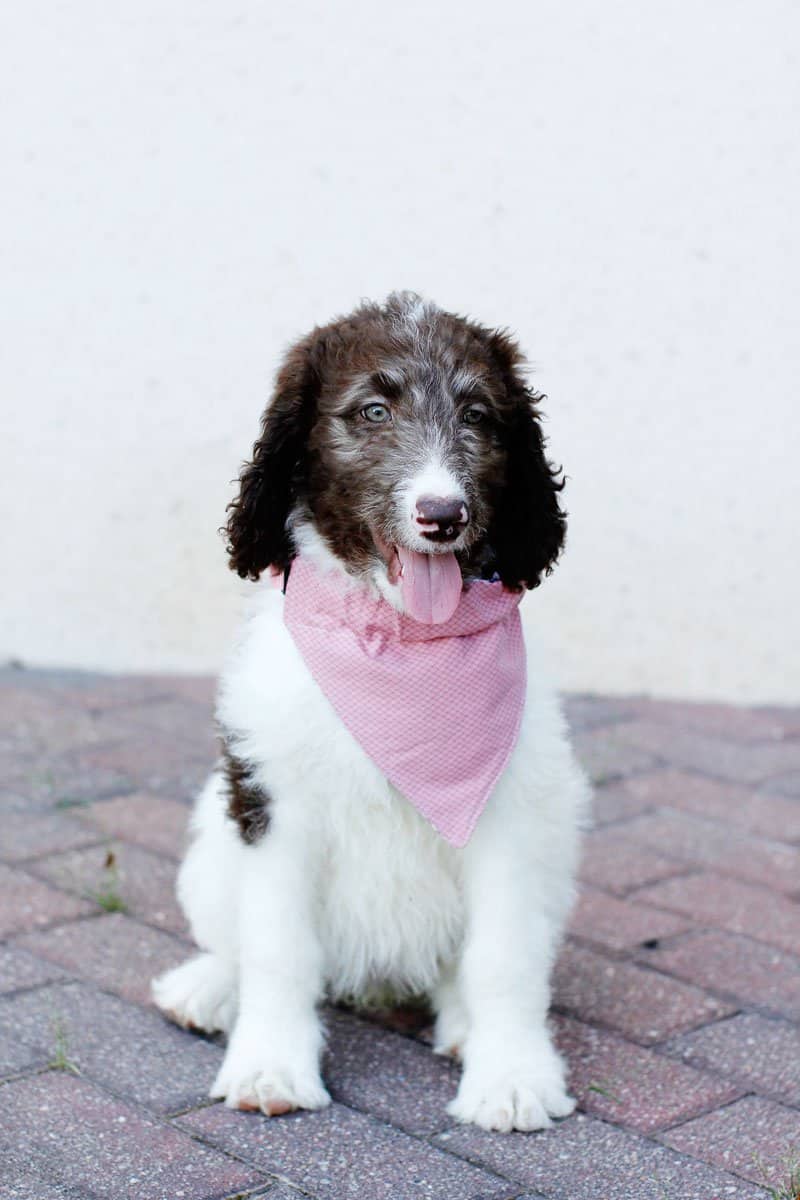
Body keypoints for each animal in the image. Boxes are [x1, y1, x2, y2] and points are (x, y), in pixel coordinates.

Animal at [154, 292, 587, 1132]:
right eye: (373, 411)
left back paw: (463, 1026)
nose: (443, 515)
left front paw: (512, 1076)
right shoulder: (273, 801)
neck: (398, 643)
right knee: (232, 939)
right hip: (214, 835)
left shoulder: (514, 812)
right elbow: (276, 947)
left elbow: (504, 957)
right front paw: (271, 1065)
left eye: (478, 415)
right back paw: (208, 989)